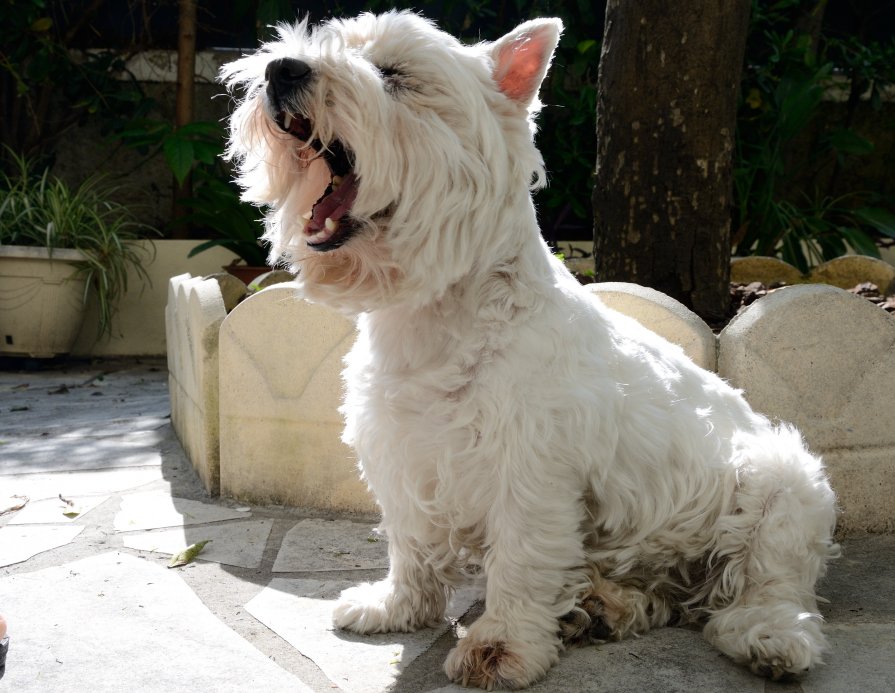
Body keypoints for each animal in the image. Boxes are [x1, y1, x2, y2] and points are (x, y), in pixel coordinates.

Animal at [222, 13, 840, 688]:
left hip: (781, 482)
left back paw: (769, 639)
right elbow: (411, 544)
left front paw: (501, 646)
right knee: (662, 594)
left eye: (395, 73)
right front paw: (395, 607)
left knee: (768, 583)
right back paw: (603, 608)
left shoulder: (531, 471)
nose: (281, 70)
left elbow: (520, 562)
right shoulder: (400, 451)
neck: (433, 319)